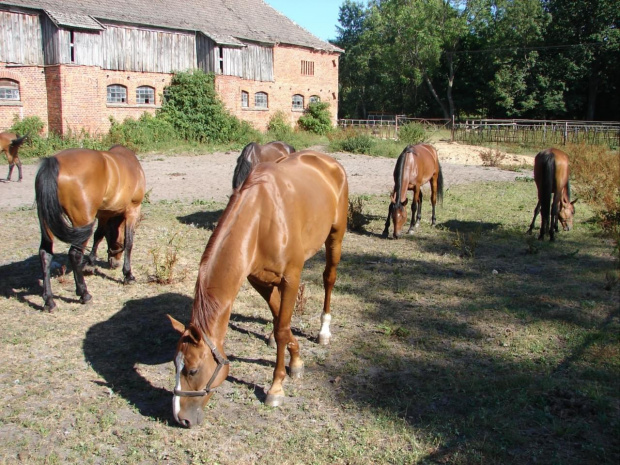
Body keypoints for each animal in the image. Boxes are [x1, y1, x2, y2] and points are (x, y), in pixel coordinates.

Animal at [36, 144, 147, 312]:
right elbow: (128, 243)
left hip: (48, 221)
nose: (114, 263)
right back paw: (84, 294)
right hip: (82, 221)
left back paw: (49, 301)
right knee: (74, 254)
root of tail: (54, 163)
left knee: (45, 254)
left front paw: (90, 263)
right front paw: (128, 275)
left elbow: (99, 235)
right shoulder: (132, 210)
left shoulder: (104, 214)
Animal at [167, 150, 348, 426]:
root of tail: (327, 160)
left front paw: (276, 388)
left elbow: (283, 328)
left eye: (192, 369)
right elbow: (279, 319)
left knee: (329, 278)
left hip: (335, 236)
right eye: (175, 366)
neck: (261, 219)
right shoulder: (259, 279)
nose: (180, 418)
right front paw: (296, 359)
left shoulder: (291, 277)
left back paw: (324, 330)